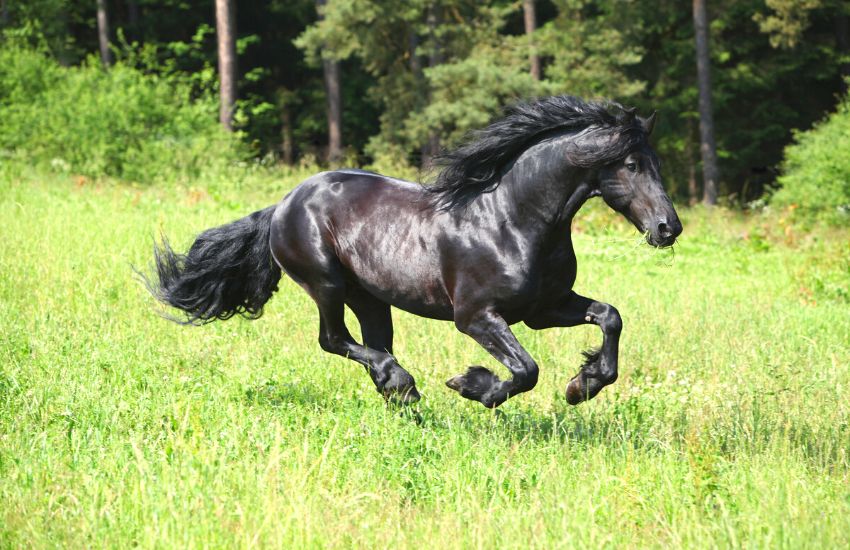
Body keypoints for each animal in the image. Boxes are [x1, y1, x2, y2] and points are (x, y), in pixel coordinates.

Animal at [143, 95, 682, 409]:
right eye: (631, 164)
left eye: (654, 160)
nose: (668, 228)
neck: (512, 221)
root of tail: (284, 204)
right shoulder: (477, 317)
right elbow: (525, 371)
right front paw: (472, 385)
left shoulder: (544, 309)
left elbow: (610, 316)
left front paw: (581, 386)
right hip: (326, 283)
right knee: (333, 340)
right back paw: (404, 386)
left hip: (370, 297)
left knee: (371, 345)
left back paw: (399, 394)